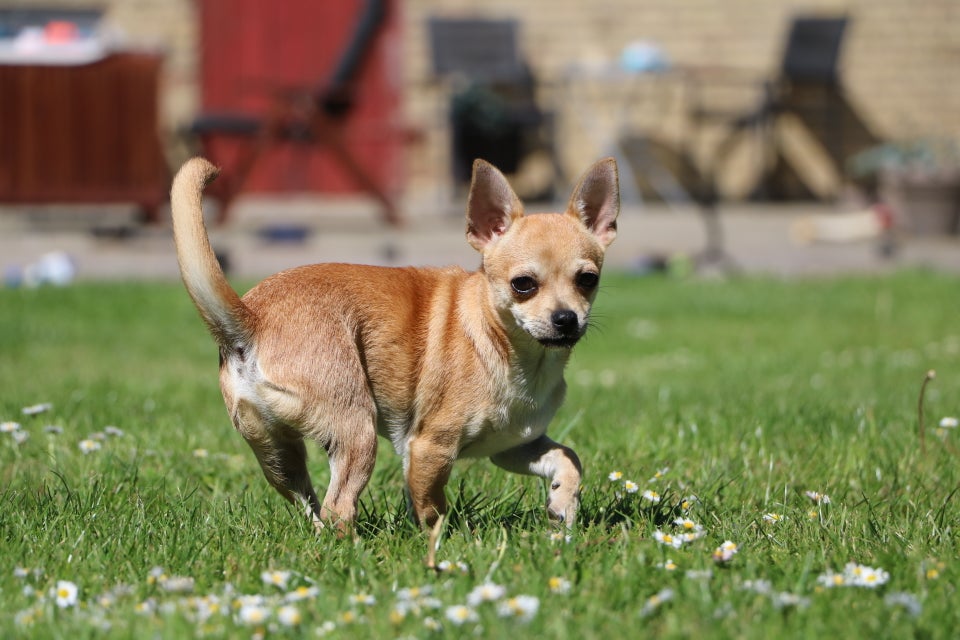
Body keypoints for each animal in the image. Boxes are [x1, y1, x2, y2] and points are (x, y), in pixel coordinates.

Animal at [172, 156, 620, 564]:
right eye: (523, 285)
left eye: (588, 280)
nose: (566, 319)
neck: (513, 351)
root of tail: (254, 317)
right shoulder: (429, 448)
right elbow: (430, 506)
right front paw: (442, 543)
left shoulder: (512, 445)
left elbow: (568, 458)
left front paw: (562, 507)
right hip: (356, 431)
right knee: (339, 507)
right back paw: (358, 551)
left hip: (276, 452)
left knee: (310, 503)